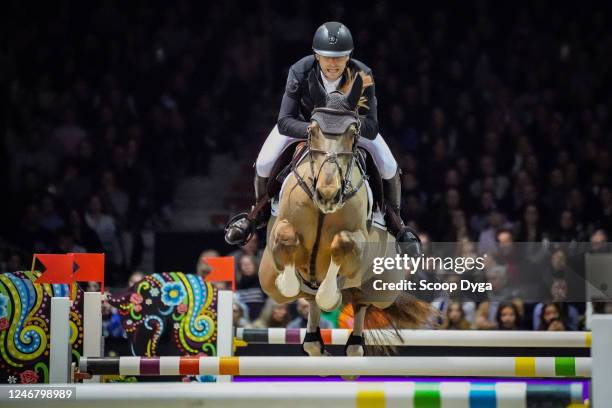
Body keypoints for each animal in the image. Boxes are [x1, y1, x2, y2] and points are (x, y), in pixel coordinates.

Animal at [256, 71, 430, 356]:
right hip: (266, 277)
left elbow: (343, 244)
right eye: (312, 130)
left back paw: (353, 342)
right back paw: (314, 337)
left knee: (361, 302)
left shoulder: (357, 241)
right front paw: (292, 282)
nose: (328, 194)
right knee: (307, 300)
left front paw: (330, 295)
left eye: (353, 132)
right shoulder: (282, 229)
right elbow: (286, 239)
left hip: (383, 289)